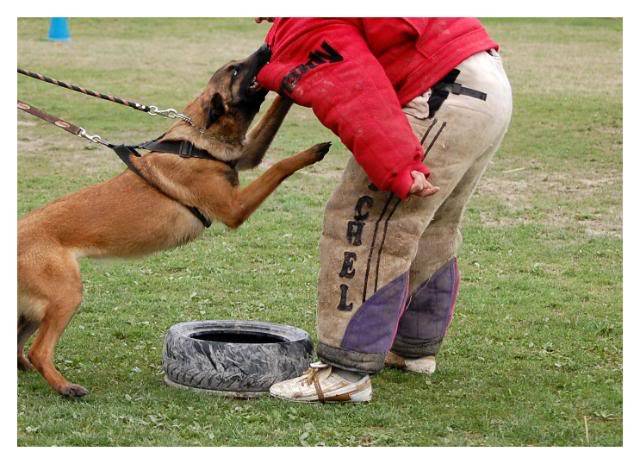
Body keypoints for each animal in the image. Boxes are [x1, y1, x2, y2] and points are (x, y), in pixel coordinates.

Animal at [18, 45, 332, 396]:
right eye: (235, 70)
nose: (265, 48)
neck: (196, 140)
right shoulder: (235, 208)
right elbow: (278, 167)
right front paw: (313, 151)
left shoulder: (247, 156)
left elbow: (273, 116)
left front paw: (295, 81)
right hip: (66, 295)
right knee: (39, 349)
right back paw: (65, 386)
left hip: (36, 308)